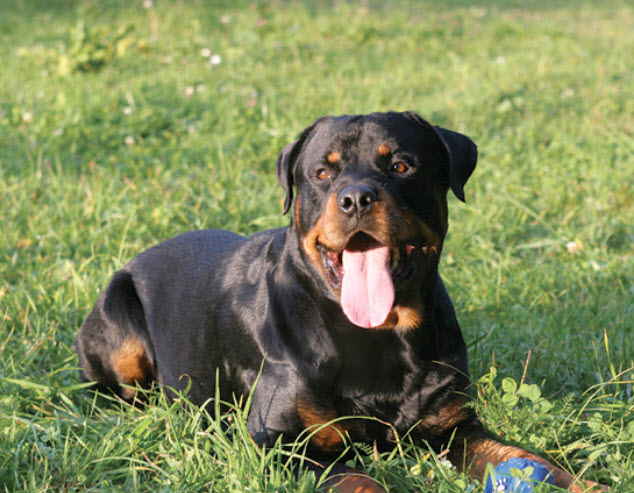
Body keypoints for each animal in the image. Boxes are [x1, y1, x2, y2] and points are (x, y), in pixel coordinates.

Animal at [76, 112, 600, 492]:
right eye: (322, 172)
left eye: (401, 165)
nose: (356, 198)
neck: (377, 337)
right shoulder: (279, 443)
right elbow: (359, 481)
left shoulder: (454, 425)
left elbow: (532, 460)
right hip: (119, 322)